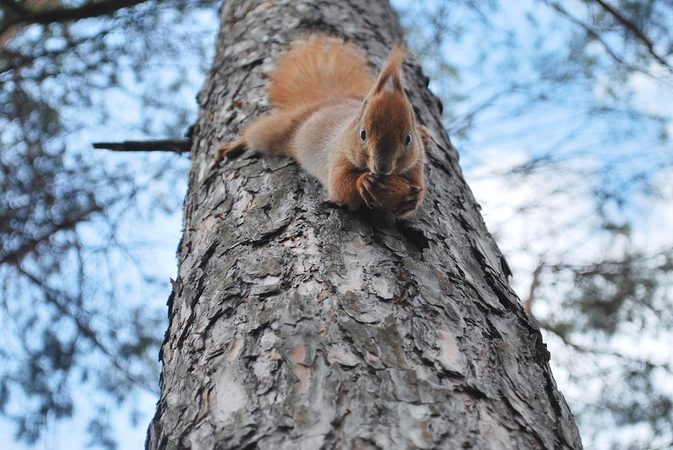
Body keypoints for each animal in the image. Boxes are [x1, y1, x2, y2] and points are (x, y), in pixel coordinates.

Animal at [214, 34, 426, 217]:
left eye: (408, 138)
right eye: (363, 134)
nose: (382, 168)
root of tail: (333, 99)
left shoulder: (416, 165)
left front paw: (413, 199)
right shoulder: (337, 154)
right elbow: (339, 186)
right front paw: (364, 181)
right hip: (278, 130)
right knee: (257, 134)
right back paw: (232, 147)